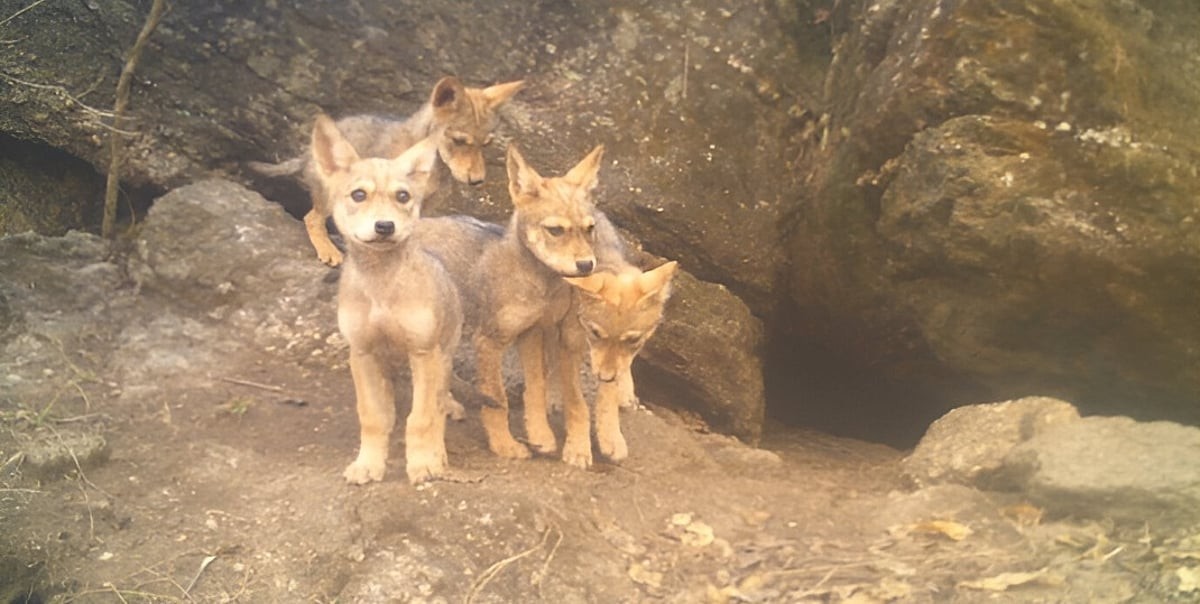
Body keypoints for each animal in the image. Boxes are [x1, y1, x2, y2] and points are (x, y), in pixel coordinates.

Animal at [250, 76, 524, 266]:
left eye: (485, 144)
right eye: (459, 141)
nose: (478, 181)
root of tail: (306, 153)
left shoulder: (422, 207)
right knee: (312, 219)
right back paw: (328, 250)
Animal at [307, 113, 462, 485]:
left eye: (403, 196)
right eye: (358, 194)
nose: (385, 226)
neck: (381, 289)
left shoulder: (423, 353)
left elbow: (420, 419)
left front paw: (422, 464)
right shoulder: (363, 354)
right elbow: (374, 417)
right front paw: (368, 464)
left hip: (442, 355)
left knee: (436, 407)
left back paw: (438, 454)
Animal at [564, 260, 679, 461]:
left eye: (633, 340)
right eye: (595, 333)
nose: (605, 377)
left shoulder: (611, 367)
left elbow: (608, 396)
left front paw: (610, 436)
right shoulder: (568, 346)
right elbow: (576, 403)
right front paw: (578, 448)